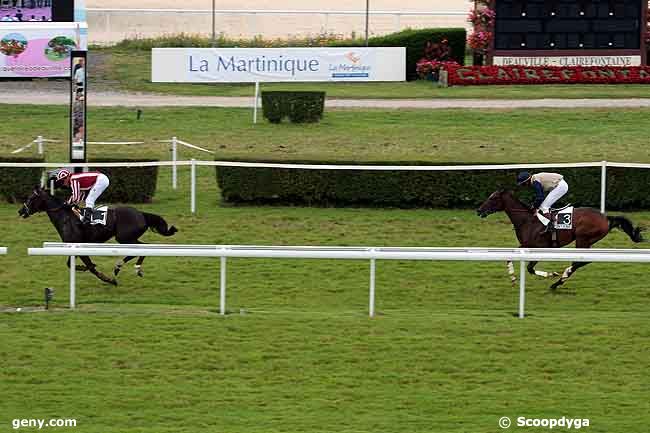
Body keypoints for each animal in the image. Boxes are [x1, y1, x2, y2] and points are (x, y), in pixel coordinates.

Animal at [19, 187, 178, 286]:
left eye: (31, 198)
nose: (21, 211)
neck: (66, 218)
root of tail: (141, 214)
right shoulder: (73, 246)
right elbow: (70, 264)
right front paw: (84, 268)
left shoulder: (78, 246)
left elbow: (90, 266)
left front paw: (108, 280)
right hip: (126, 238)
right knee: (138, 249)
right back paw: (119, 267)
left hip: (124, 238)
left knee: (143, 247)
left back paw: (132, 267)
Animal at [476, 188, 644, 286]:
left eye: (492, 198)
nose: (479, 210)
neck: (528, 220)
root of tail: (606, 218)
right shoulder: (525, 246)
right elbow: (509, 256)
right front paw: (512, 276)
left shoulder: (541, 247)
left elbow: (530, 268)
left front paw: (551, 274)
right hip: (586, 241)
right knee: (583, 261)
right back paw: (561, 279)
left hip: (582, 239)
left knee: (580, 261)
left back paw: (560, 279)